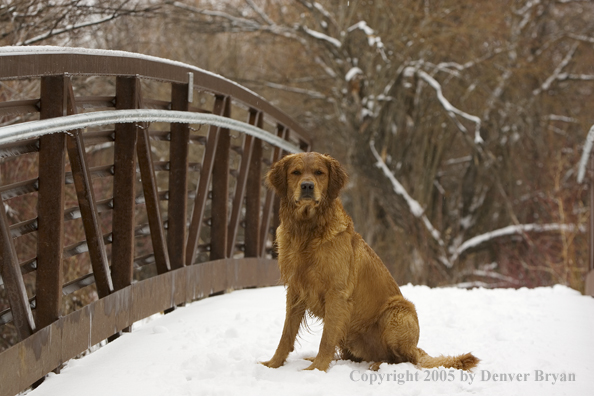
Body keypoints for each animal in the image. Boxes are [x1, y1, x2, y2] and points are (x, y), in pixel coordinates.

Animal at [260, 152, 476, 372]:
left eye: (319, 173)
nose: (307, 186)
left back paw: (377, 364)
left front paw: (316, 370)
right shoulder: (296, 289)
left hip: (398, 310)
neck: (306, 231)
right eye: (295, 172)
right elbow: (286, 335)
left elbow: (326, 339)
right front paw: (272, 365)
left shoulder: (337, 294)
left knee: (404, 358)